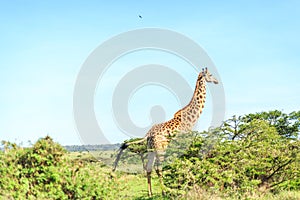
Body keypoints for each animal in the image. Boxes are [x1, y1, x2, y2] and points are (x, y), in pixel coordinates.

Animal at [112, 68, 218, 196]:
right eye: (210, 75)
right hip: (160, 148)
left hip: (151, 149)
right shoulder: (185, 141)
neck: (190, 118)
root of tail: (148, 135)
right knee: (158, 168)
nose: (217, 81)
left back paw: (150, 193)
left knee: (149, 168)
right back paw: (164, 192)